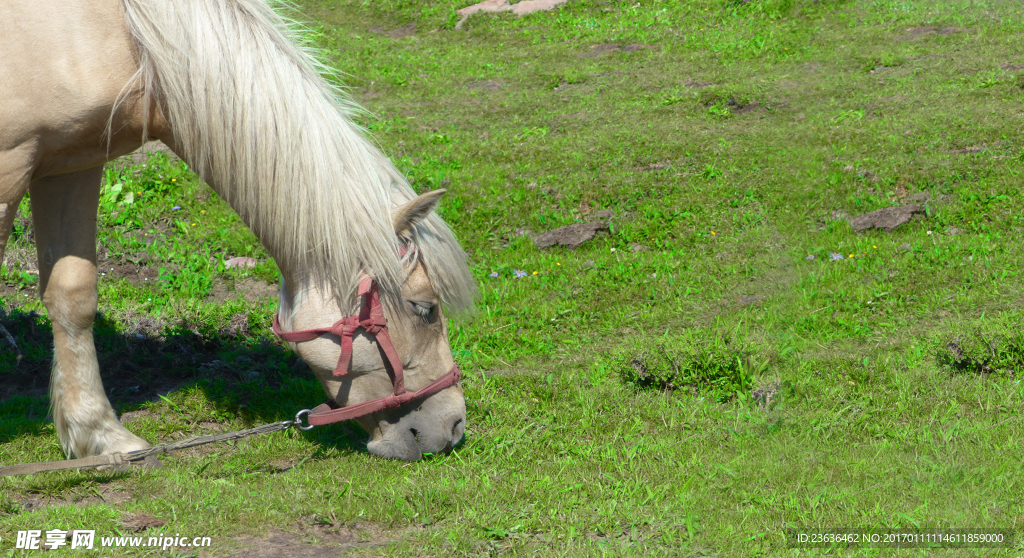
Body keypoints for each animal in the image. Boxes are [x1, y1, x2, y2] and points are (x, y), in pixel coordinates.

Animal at [0, 0, 477, 460]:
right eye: (425, 309)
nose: (453, 428)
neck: (119, 35)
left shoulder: (72, 161)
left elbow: (73, 296)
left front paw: (99, 434)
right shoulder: (12, 166)